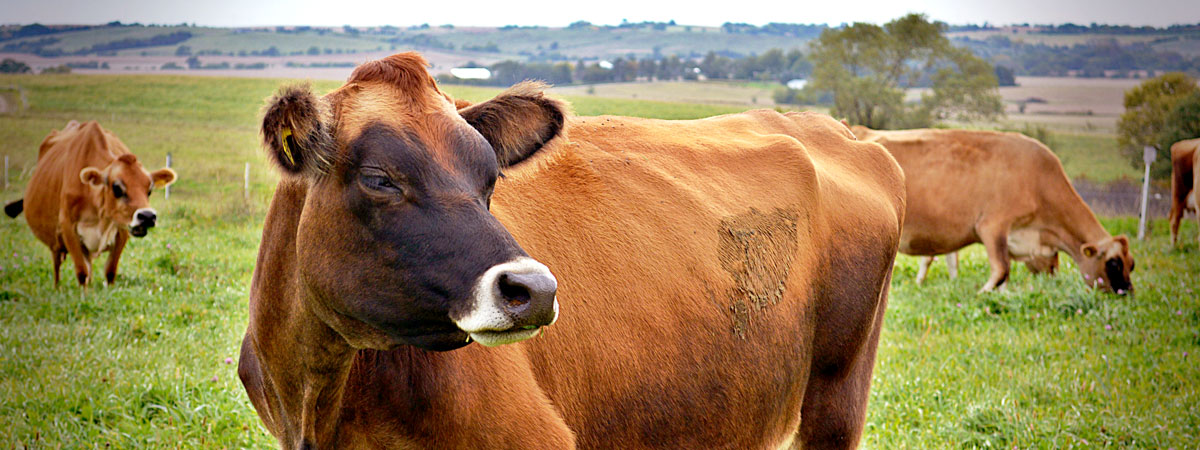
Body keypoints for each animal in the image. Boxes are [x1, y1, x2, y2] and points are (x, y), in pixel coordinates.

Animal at [2, 120, 175, 286]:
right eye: (117, 187)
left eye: (149, 189)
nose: (147, 216)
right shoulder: (68, 227)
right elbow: (82, 272)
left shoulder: (122, 231)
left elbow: (110, 272)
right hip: (55, 243)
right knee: (57, 266)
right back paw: (57, 288)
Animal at [238, 53, 902, 450]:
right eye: (379, 179)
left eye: (490, 178)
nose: (534, 290)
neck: (318, 396)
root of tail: (835, 128)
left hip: (836, 400)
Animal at [854, 126, 1132, 296]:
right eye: (1113, 263)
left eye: (1132, 264)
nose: (1127, 293)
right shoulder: (992, 226)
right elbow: (1001, 269)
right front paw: (981, 294)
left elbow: (1003, 278)